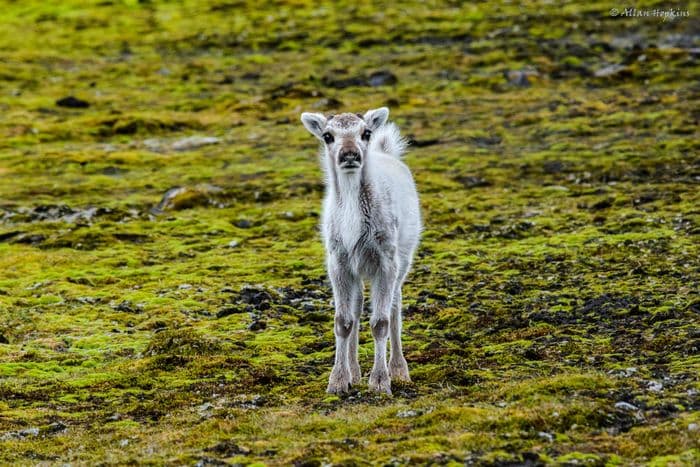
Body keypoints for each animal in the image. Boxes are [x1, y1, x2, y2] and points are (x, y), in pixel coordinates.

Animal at [300, 107, 421, 394]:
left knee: (395, 306)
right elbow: (343, 321)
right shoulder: (338, 262)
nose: (350, 155)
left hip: (403, 258)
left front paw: (380, 382)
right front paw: (337, 381)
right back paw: (354, 372)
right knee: (356, 307)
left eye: (365, 133)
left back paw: (399, 370)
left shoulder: (386, 260)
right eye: (328, 136)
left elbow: (380, 323)